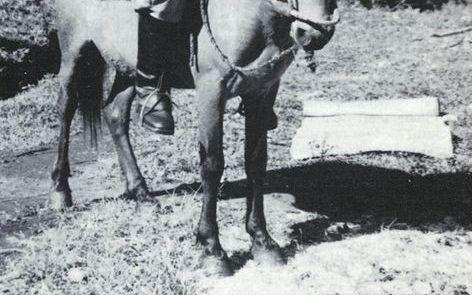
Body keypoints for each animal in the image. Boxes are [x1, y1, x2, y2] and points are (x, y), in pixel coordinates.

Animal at [49, 0, 340, 276]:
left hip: (126, 65)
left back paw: (141, 193)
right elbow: (212, 165)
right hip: (74, 51)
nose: (314, 34)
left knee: (116, 114)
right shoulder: (212, 92)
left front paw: (262, 242)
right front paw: (212, 250)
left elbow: (256, 162)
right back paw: (60, 191)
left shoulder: (263, 90)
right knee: (66, 108)